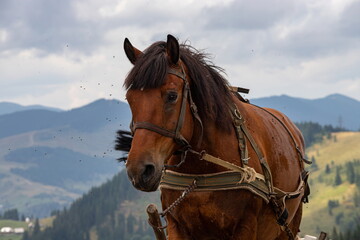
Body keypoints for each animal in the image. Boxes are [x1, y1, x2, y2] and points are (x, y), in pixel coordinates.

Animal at [116, 34, 310, 240]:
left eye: (172, 96)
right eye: (130, 99)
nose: (139, 170)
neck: (200, 173)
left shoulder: (245, 227)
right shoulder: (177, 226)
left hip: (289, 226)